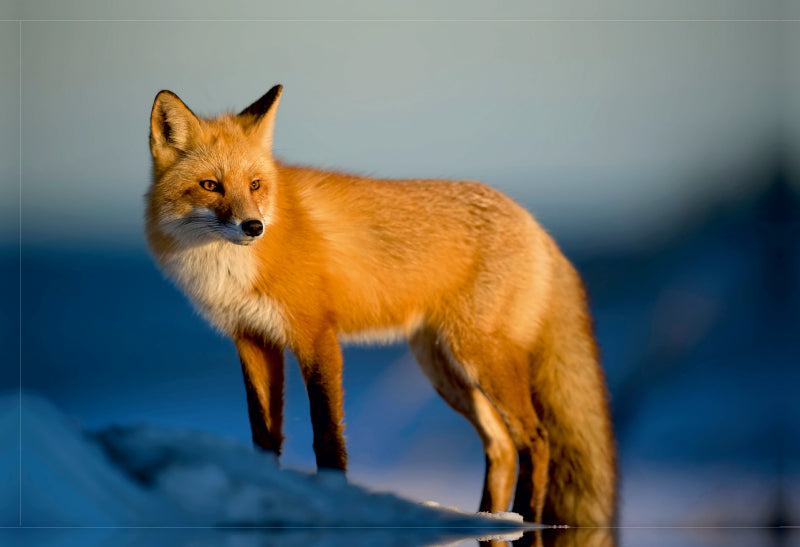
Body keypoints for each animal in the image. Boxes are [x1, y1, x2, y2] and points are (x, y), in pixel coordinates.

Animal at [145, 84, 617, 526]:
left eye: (255, 185)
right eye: (211, 185)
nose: (253, 227)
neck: (230, 268)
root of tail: (535, 224)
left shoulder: (316, 336)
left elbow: (327, 436)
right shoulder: (252, 339)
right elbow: (264, 437)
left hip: (481, 357)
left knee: (536, 438)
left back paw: (527, 520)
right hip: (444, 368)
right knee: (500, 445)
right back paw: (487, 520)